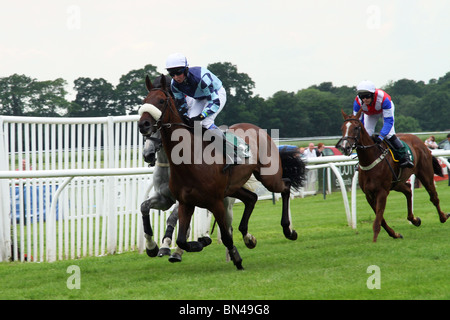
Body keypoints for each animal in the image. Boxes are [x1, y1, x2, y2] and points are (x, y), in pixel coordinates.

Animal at [137, 75, 306, 270]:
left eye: (161, 101)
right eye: (144, 101)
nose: (143, 125)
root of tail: (257, 129)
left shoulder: (212, 201)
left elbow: (218, 234)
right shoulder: (179, 200)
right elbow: (172, 231)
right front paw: (157, 247)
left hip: (267, 178)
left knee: (285, 186)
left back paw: (288, 230)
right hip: (233, 188)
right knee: (252, 198)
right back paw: (249, 238)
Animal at [336, 109, 448, 241]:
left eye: (356, 127)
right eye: (342, 128)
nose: (345, 147)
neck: (370, 159)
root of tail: (420, 141)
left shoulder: (382, 192)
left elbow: (378, 219)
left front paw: (374, 241)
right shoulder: (369, 194)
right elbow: (380, 218)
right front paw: (395, 234)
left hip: (425, 174)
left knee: (433, 197)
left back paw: (443, 217)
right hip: (397, 183)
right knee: (408, 190)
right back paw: (414, 219)